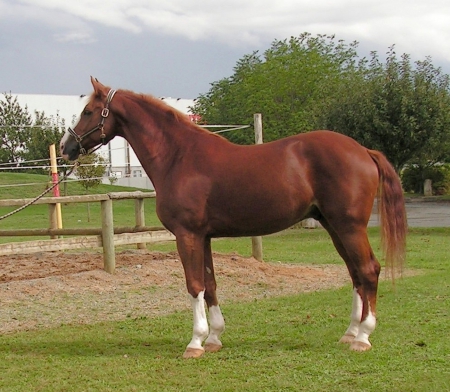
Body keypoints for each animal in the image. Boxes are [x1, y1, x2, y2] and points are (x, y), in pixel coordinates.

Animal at [60, 77, 408, 358]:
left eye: (89, 111)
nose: (66, 147)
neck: (179, 156)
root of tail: (363, 151)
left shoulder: (187, 234)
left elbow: (194, 285)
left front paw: (195, 343)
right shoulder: (204, 237)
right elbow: (210, 284)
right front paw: (214, 337)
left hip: (349, 227)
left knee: (369, 270)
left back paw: (363, 337)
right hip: (335, 227)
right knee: (355, 274)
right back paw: (350, 333)